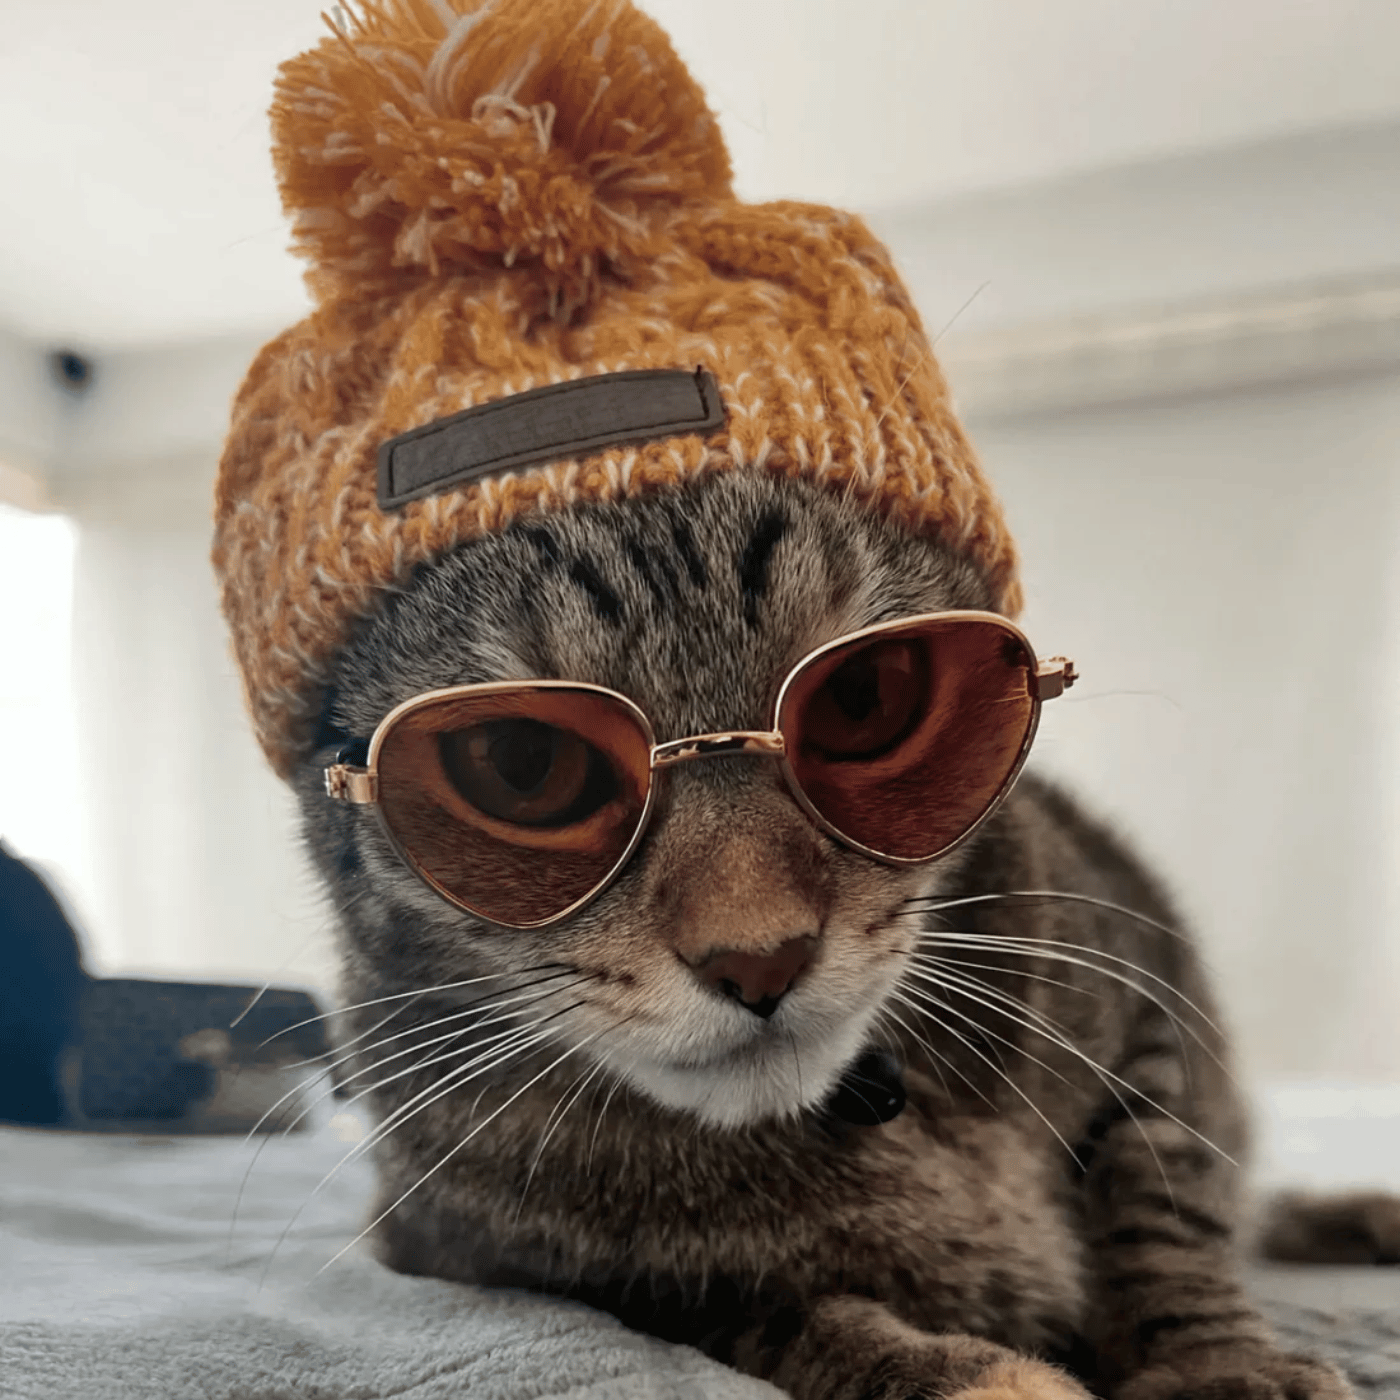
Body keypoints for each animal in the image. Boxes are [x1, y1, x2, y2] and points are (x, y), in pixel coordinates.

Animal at [292, 473, 1388, 1400]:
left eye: (865, 696)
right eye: (522, 759)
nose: (758, 954)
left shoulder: (1145, 992)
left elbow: (1162, 1209)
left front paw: (1219, 1364)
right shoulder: (518, 1269)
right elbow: (781, 1314)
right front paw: (969, 1374)